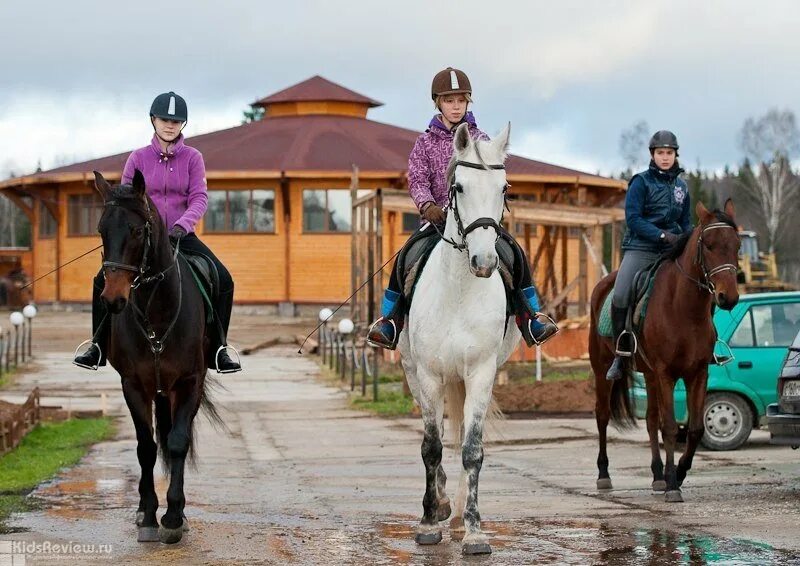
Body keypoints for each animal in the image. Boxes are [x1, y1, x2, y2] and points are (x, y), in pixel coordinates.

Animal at [94, 172, 222, 544]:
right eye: (100, 230)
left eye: (137, 231)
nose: (113, 299)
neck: (157, 309)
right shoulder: (134, 385)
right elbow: (145, 447)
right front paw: (150, 515)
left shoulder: (190, 382)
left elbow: (178, 443)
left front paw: (174, 517)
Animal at [398, 123, 520, 556]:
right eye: (460, 187)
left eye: (504, 188)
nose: (484, 263)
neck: (459, 291)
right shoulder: (429, 375)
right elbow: (431, 447)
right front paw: (428, 523)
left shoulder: (481, 373)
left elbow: (472, 449)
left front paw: (475, 530)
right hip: (413, 375)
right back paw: (440, 503)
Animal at [592, 201, 740, 506]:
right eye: (709, 245)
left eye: (737, 245)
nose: (728, 297)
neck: (685, 309)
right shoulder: (666, 374)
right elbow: (670, 426)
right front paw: (673, 484)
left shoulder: (698, 374)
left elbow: (694, 429)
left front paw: (679, 474)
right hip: (602, 368)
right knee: (602, 416)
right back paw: (604, 474)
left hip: (648, 374)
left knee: (649, 420)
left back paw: (657, 475)